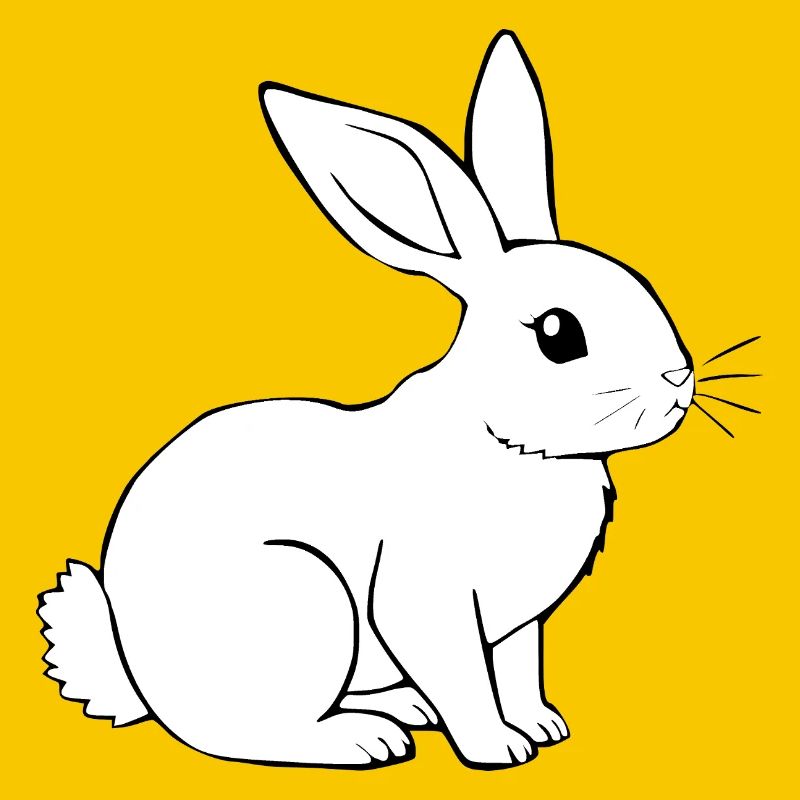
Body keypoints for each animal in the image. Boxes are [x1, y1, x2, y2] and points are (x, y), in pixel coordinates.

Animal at [38, 30, 695, 770]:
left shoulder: (519, 626)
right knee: (244, 733)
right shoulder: (428, 599)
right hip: (303, 601)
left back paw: (403, 710)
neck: (511, 446)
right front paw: (498, 748)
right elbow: (466, 678)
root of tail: (135, 672)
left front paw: (542, 726)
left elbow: (519, 671)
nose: (678, 379)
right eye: (558, 333)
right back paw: (365, 738)